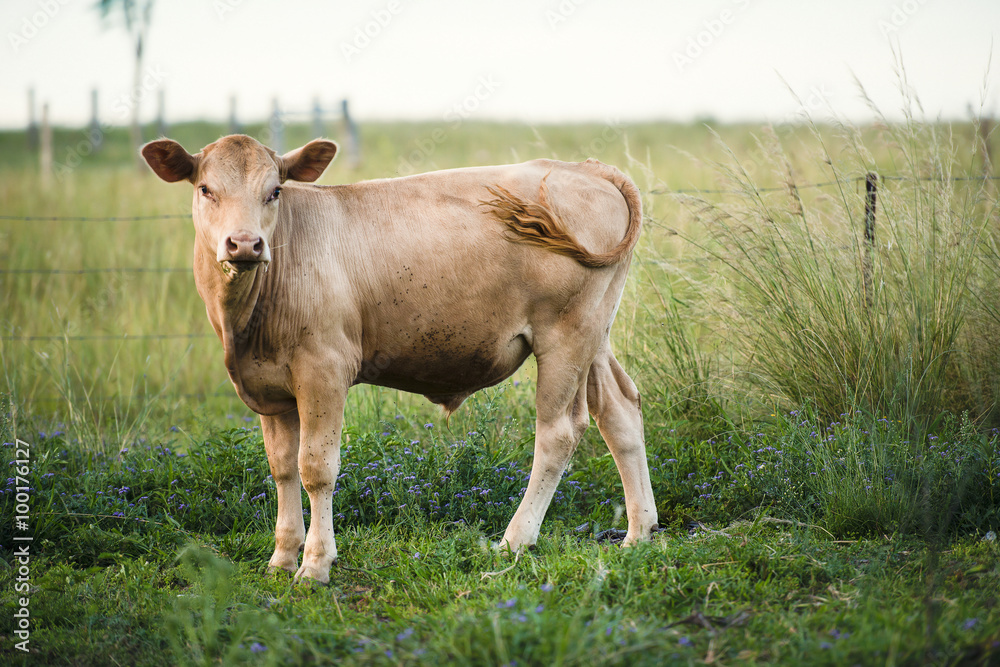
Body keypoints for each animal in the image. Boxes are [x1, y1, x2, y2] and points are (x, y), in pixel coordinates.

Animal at [139, 133, 656, 580]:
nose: (245, 244)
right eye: (206, 189)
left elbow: (316, 468)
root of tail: (584, 167)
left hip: (564, 336)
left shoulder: (324, 370)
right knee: (619, 410)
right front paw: (282, 558)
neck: (246, 325)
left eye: (275, 191)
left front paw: (316, 565)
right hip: (595, 334)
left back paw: (514, 540)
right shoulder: (270, 387)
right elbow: (282, 468)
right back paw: (640, 533)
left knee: (558, 433)